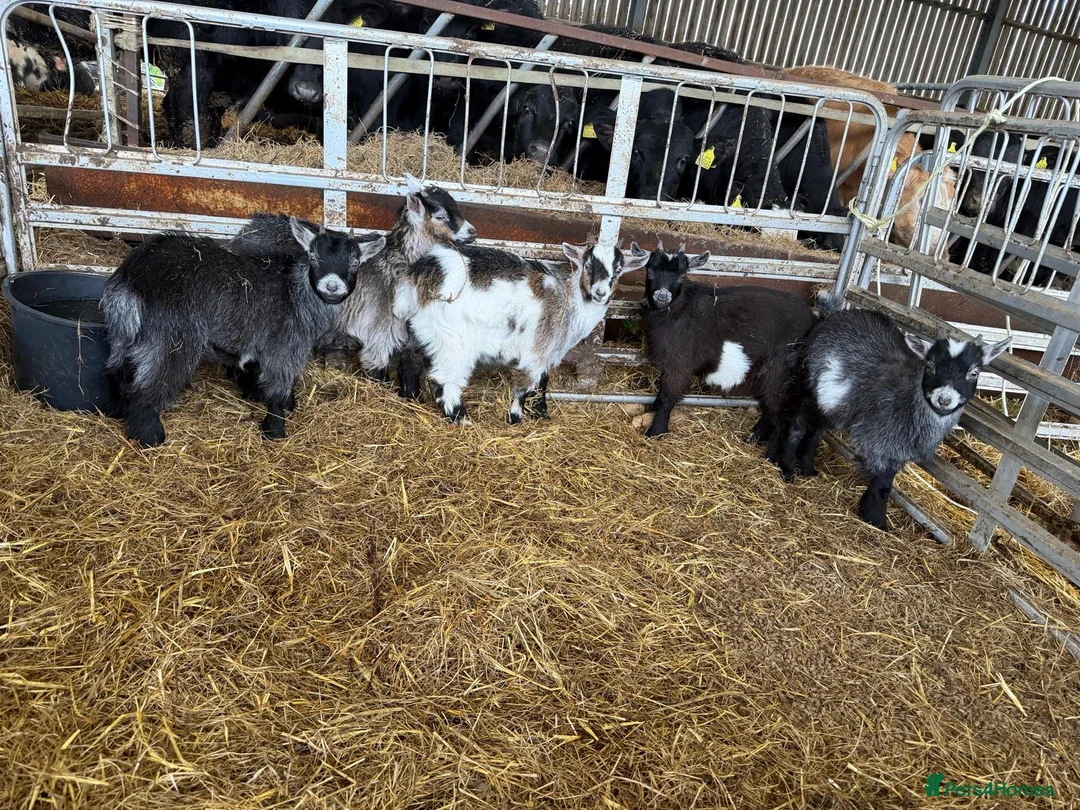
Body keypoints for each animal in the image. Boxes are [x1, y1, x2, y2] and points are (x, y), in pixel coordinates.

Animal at [103, 219, 385, 446]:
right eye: (314, 257)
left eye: (355, 262)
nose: (332, 287)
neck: (295, 291)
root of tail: (132, 280)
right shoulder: (284, 346)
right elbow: (278, 388)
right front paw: (275, 430)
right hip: (171, 339)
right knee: (146, 390)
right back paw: (150, 437)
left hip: (125, 335)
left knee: (117, 371)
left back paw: (117, 411)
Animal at [228, 175, 476, 399]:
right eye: (440, 216)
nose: (472, 232)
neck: (397, 264)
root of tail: (242, 234)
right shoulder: (379, 333)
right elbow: (378, 371)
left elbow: (409, 369)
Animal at [401, 242, 649, 423]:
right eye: (587, 265)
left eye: (618, 270)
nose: (600, 292)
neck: (569, 302)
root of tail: (422, 272)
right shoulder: (537, 350)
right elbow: (525, 387)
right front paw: (515, 418)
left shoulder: (547, 352)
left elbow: (543, 383)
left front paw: (541, 414)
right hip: (454, 338)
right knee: (446, 382)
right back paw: (462, 419)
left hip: (421, 330)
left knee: (410, 360)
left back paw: (410, 397)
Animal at [641, 243, 818, 437]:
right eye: (649, 271)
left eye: (682, 276)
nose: (662, 296)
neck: (678, 309)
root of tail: (814, 319)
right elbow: (660, 397)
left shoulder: (679, 364)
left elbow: (667, 398)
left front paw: (655, 432)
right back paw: (755, 438)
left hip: (779, 371)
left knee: (779, 412)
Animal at [769, 293, 1009, 529]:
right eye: (930, 365)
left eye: (974, 373)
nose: (944, 399)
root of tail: (835, 312)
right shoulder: (878, 442)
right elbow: (883, 484)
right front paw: (876, 520)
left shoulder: (898, 451)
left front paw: (870, 513)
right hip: (807, 382)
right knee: (797, 426)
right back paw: (787, 468)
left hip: (830, 400)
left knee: (815, 431)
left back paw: (808, 469)